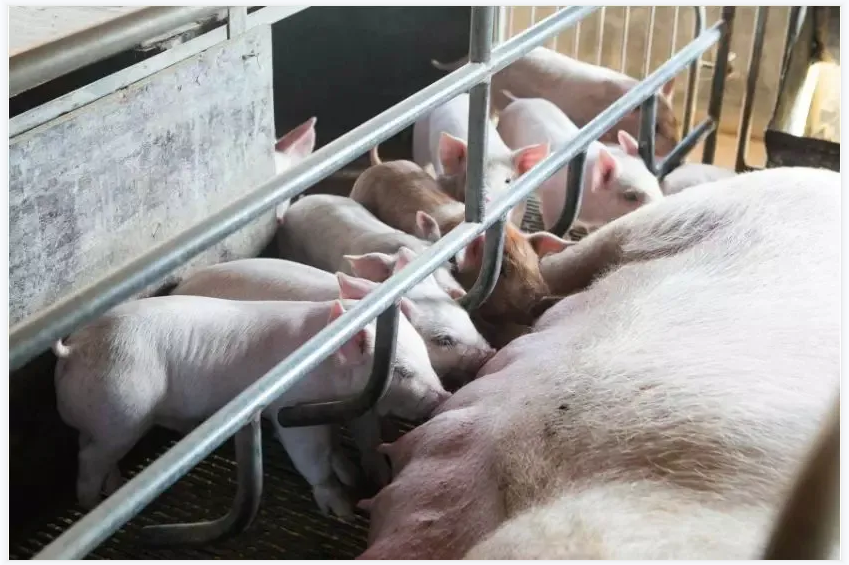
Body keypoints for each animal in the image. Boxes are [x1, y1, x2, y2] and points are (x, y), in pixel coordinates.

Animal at [53, 294, 447, 517]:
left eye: (425, 354)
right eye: (400, 370)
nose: (442, 397)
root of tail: (74, 349)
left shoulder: (359, 401)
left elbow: (364, 439)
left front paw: (375, 476)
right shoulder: (290, 407)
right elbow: (312, 455)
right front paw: (343, 510)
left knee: (92, 448)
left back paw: (114, 487)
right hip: (123, 409)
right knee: (88, 457)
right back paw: (91, 504)